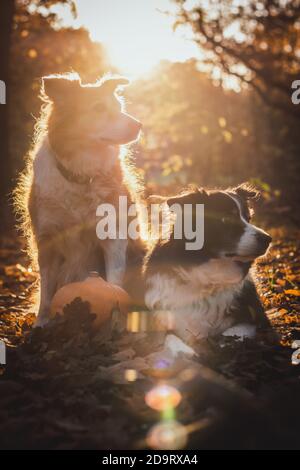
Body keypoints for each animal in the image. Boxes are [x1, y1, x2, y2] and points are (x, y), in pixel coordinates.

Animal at [14, 73, 144, 326]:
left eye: (119, 107)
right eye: (99, 108)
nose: (139, 125)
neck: (82, 175)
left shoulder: (114, 235)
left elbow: (114, 282)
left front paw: (117, 322)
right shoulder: (47, 238)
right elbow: (47, 291)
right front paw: (41, 324)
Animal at [143, 183, 272, 342]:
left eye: (249, 218)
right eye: (226, 219)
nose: (268, 239)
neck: (208, 279)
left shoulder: (257, 320)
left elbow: (233, 333)